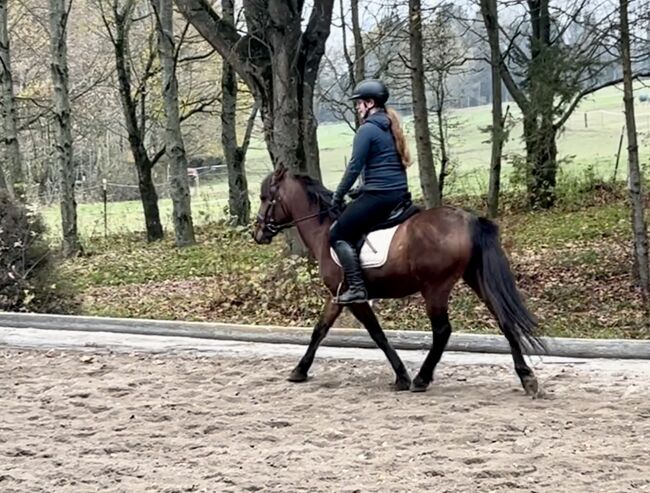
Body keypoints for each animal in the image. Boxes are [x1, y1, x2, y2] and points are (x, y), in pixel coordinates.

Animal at [251, 166, 544, 396]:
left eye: (265, 197)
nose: (258, 233)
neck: (324, 231)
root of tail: (468, 218)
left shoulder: (354, 298)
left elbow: (377, 334)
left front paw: (401, 376)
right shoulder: (337, 295)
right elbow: (320, 329)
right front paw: (299, 370)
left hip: (435, 288)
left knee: (442, 331)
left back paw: (421, 379)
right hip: (475, 278)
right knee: (504, 319)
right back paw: (527, 378)